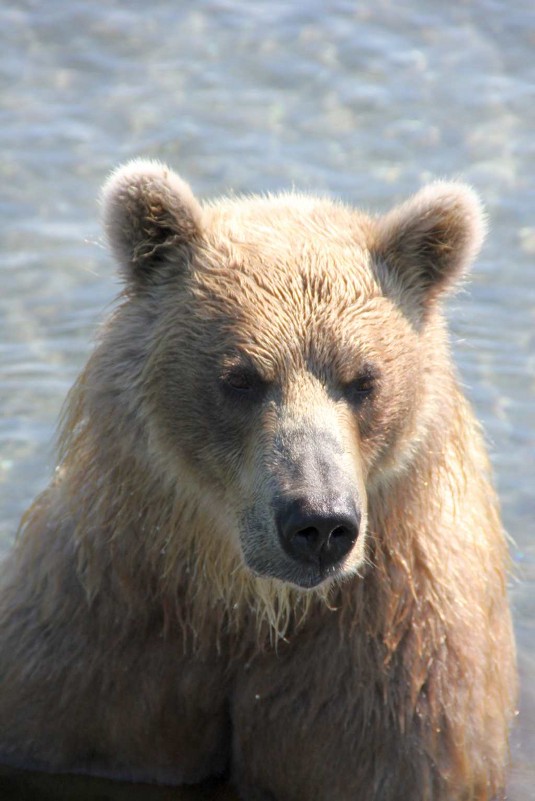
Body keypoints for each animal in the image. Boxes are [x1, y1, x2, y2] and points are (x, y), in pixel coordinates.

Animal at [1, 158, 520, 800]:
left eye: (364, 379)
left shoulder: (397, 686)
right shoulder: (96, 649)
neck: (246, 608)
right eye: (241, 377)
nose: (318, 522)